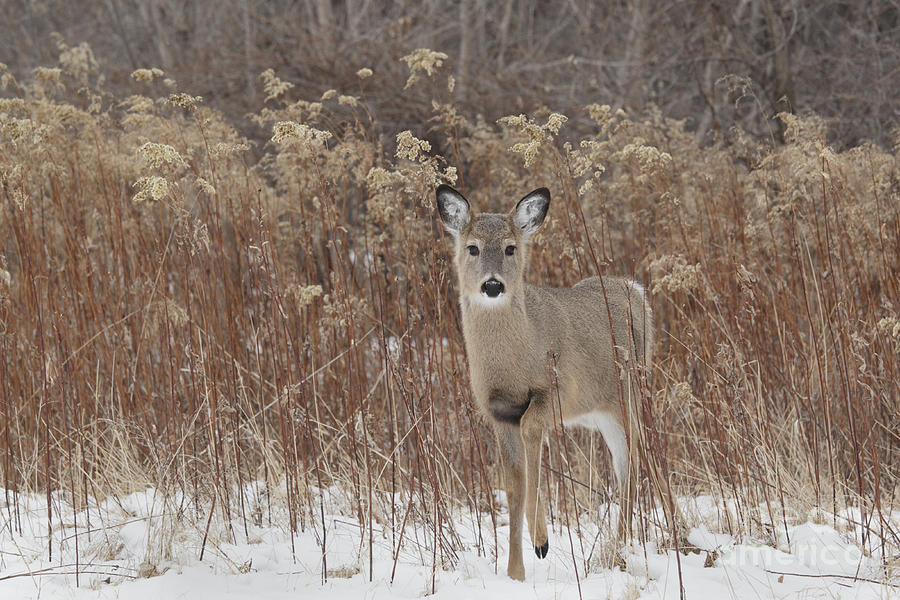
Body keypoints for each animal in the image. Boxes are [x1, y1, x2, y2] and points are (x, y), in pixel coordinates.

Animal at [436, 184, 652, 580]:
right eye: (473, 247)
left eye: (511, 247)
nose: (493, 284)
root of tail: (634, 288)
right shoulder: (499, 414)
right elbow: (514, 488)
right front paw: (514, 573)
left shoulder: (555, 390)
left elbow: (532, 440)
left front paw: (542, 541)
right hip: (601, 413)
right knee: (624, 466)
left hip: (628, 394)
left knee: (632, 463)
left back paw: (621, 549)